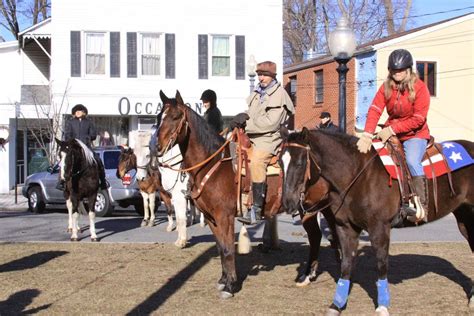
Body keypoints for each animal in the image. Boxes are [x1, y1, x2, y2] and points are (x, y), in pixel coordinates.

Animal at [150, 90, 336, 298]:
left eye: (175, 117)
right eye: (159, 117)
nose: (156, 148)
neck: (213, 164)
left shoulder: (224, 217)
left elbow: (228, 249)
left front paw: (230, 286)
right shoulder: (212, 218)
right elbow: (220, 248)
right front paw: (223, 280)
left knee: (318, 235)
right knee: (318, 236)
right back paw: (309, 274)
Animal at [280, 128, 472, 314]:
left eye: (299, 163)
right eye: (281, 163)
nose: (287, 202)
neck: (359, 174)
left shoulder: (379, 228)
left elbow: (381, 264)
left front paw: (382, 305)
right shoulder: (346, 228)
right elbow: (346, 264)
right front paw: (337, 304)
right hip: (464, 218)